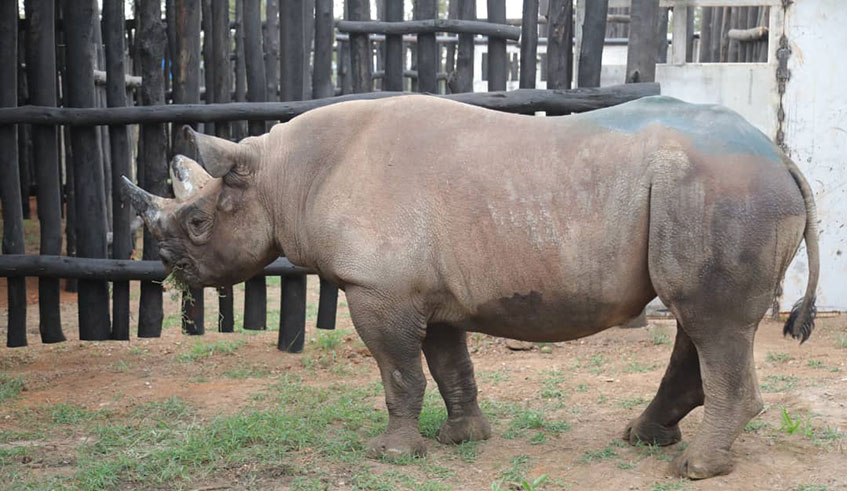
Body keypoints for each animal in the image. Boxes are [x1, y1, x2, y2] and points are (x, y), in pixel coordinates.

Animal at [122, 95, 819, 479]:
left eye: (197, 222)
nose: (169, 262)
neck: (280, 175)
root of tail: (778, 154)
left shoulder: (380, 289)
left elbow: (399, 372)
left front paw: (392, 455)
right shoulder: (426, 293)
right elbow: (447, 363)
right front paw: (461, 440)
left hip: (723, 189)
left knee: (709, 322)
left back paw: (693, 468)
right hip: (717, 188)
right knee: (697, 323)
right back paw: (646, 438)